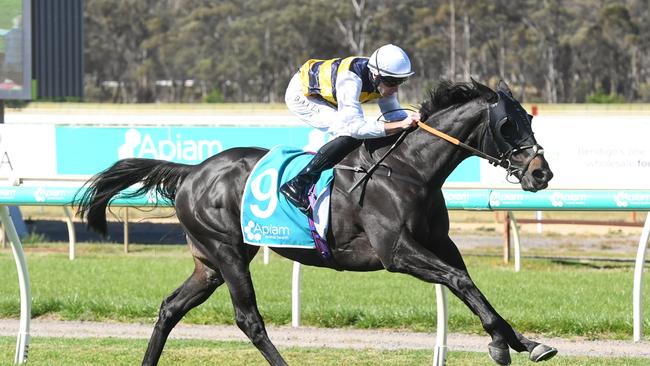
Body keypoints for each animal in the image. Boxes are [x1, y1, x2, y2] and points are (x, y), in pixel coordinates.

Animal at [76, 81, 552, 366]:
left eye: (529, 118)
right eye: (507, 124)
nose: (541, 173)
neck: (409, 169)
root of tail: (192, 171)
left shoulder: (439, 243)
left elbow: (467, 283)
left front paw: (523, 341)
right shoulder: (396, 252)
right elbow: (459, 280)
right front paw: (501, 343)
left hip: (208, 262)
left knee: (171, 307)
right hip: (226, 251)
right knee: (248, 319)